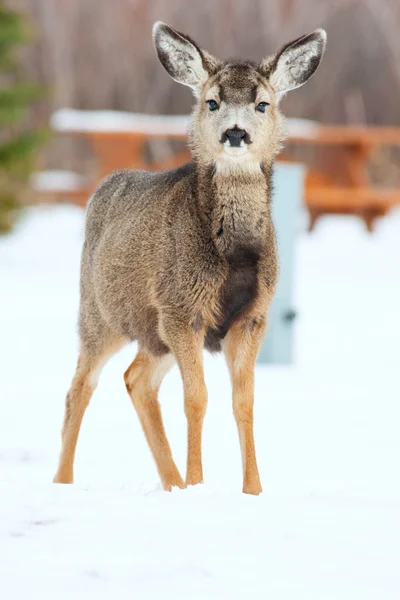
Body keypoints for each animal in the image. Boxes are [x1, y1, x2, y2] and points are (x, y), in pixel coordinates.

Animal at [53, 21, 326, 494]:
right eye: (212, 100)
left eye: (262, 103)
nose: (235, 133)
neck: (233, 253)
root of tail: (102, 187)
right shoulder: (182, 308)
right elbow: (196, 398)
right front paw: (200, 485)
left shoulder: (252, 316)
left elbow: (244, 401)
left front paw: (252, 490)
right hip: (100, 313)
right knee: (81, 386)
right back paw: (64, 482)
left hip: (152, 331)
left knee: (135, 379)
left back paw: (171, 483)